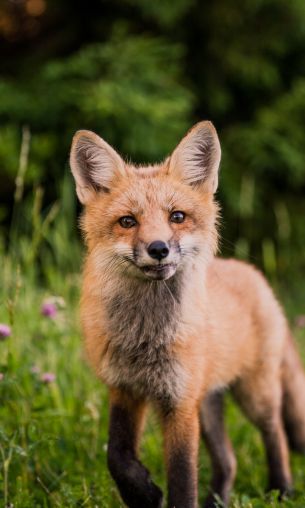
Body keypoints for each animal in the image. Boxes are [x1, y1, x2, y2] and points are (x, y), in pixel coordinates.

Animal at [70, 123, 304, 508]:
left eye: (177, 217)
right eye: (127, 221)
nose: (159, 249)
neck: (145, 338)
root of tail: (253, 274)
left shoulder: (179, 402)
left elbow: (182, 477)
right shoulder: (124, 388)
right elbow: (117, 456)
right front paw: (143, 494)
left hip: (254, 393)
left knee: (277, 435)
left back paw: (282, 489)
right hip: (207, 403)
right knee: (229, 460)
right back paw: (217, 501)